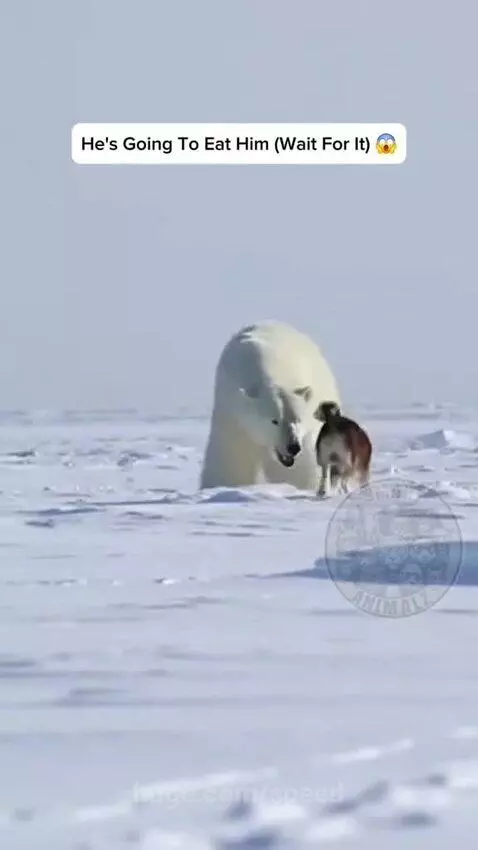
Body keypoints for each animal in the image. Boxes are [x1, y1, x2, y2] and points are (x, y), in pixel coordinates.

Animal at [199, 321, 341, 490]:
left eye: (298, 419)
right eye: (274, 421)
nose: (293, 447)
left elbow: (303, 466)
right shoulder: (232, 412)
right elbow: (232, 458)